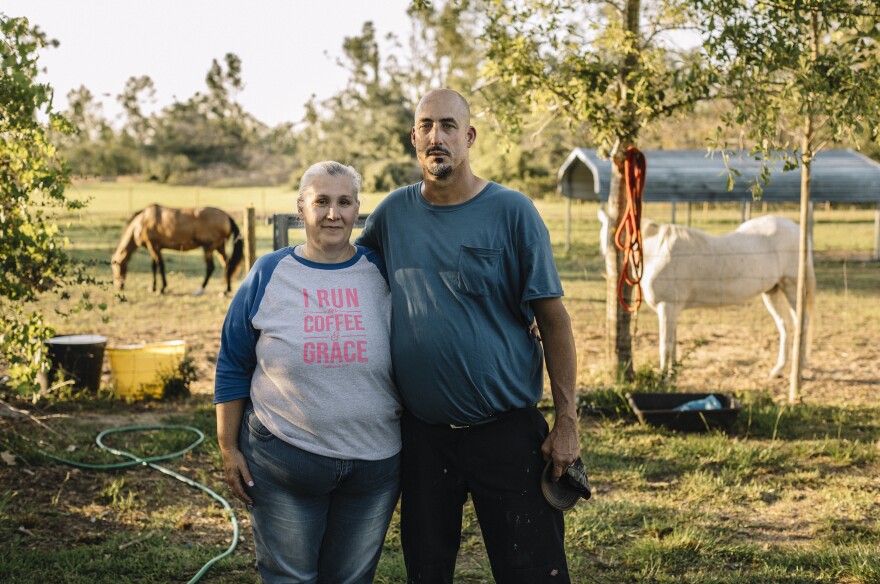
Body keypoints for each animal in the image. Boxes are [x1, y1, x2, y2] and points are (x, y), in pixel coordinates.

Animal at [112, 205, 248, 296]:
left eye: (115, 268)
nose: (118, 286)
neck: (142, 221)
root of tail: (226, 215)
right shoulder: (156, 247)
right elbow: (154, 267)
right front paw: (153, 288)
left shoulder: (153, 246)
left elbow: (160, 266)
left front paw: (162, 288)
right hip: (219, 247)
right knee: (227, 264)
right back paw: (226, 290)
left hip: (209, 248)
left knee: (210, 267)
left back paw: (200, 289)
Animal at [600, 210, 820, 378]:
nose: (608, 258)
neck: (657, 252)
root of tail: (798, 230)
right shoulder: (672, 311)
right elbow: (672, 344)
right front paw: (672, 373)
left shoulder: (666, 307)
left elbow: (665, 345)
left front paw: (664, 376)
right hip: (772, 291)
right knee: (785, 325)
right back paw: (778, 370)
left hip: (792, 287)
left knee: (803, 322)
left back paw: (800, 368)